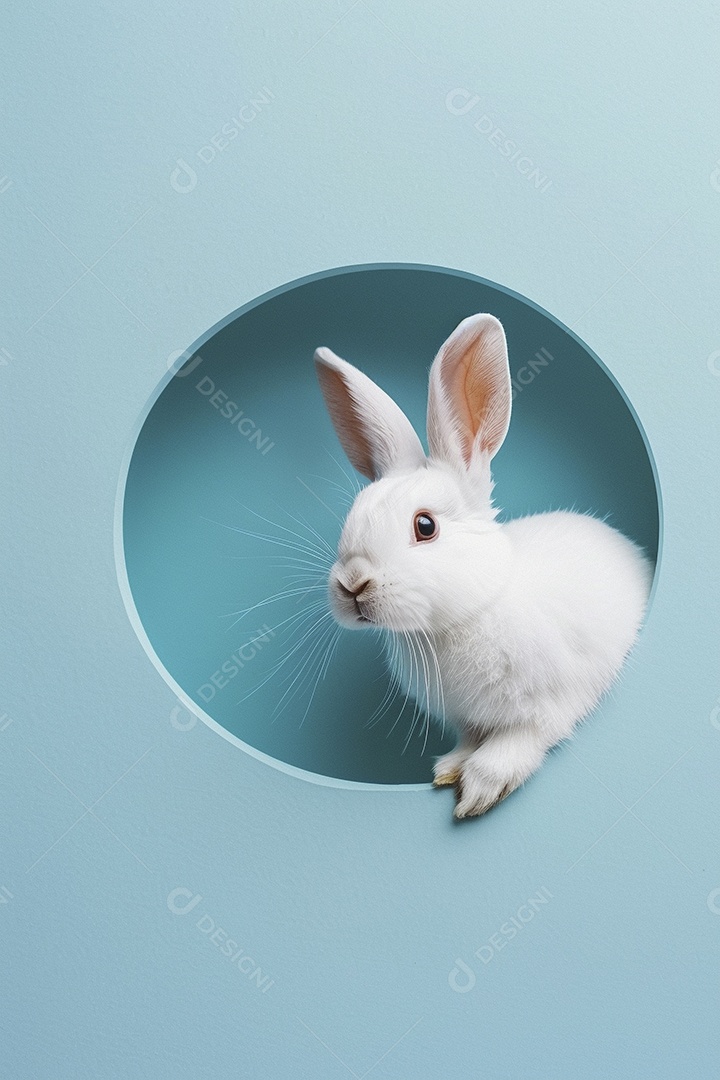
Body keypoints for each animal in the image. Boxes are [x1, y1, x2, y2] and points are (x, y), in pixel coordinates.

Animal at [314, 314, 652, 818]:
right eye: (352, 516)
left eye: (425, 526)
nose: (353, 584)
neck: (469, 614)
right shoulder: (467, 719)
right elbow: (470, 740)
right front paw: (448, 769)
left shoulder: (553, 702)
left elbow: (518, 743)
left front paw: (477, 791)